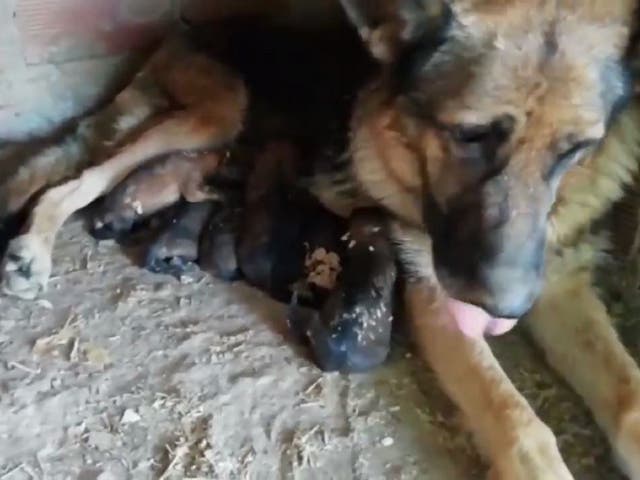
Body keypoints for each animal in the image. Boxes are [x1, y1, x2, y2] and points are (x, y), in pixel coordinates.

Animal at [91, 150, 224, 240]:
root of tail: (100, 214)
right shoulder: (190, 180)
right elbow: (193, 195)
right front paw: (218, 195)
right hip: (126, 215)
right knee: (121, 233)